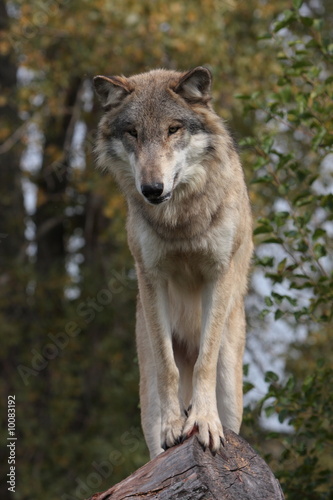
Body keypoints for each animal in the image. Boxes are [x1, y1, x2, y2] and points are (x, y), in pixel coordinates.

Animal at [93, 67, 252, 460]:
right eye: (133, 132)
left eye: (173, 129)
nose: (152, 189)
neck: (181, 221)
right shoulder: (152, 278)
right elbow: (169, 368)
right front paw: (174, 426)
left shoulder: (218, 275)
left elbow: (204, 361)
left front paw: (204, 422)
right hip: (146, 394)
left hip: (232, 385)